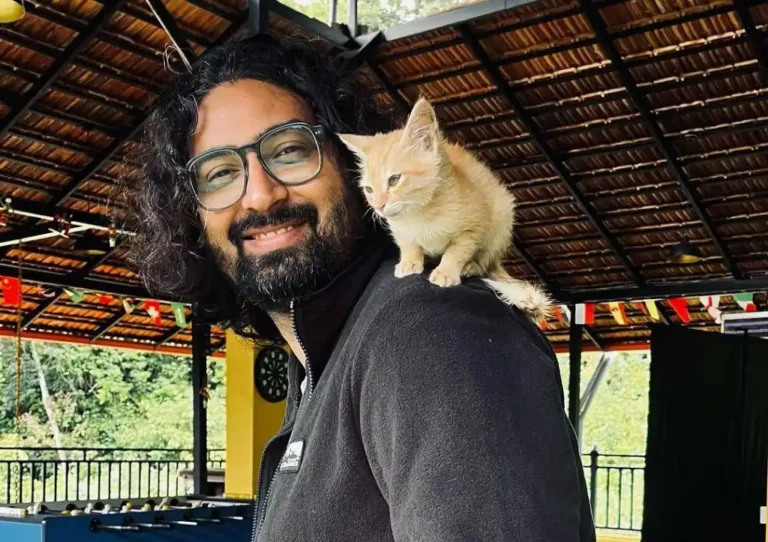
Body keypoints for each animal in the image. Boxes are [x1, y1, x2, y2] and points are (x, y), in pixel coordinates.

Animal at [340, 97, 548, 320]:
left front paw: (447, 271)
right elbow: (408, 244)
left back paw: (472, 266)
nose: (379, 207)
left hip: (503, 215)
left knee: (487, 259)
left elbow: (457, 251)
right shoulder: (398, 228)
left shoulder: (474, 225)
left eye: (394, 179)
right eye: (368, 189)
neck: (421, 213)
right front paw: (409, 262)